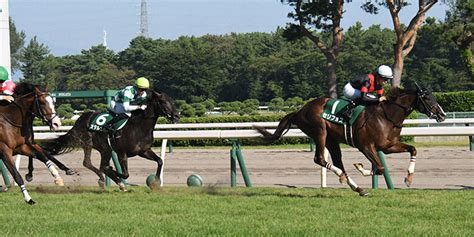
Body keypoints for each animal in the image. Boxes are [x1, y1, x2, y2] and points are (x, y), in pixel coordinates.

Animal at [42, 90, 180, 190]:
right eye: (163, 102)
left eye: (172, 101)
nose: (177, 115)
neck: (139, 127)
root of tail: (79, 120)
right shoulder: (121, 152)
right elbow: (125, 173)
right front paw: (116, 174)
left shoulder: (143, 151)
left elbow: (160, 161)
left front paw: (156, 182)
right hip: (97, 146)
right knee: (98, 165)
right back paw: (112, 180)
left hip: (102, 148)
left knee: (90, 163)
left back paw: (103, 179)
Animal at [256, 85, 444, 196]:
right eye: (427, 98)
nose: (442, 114)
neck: (386, 116)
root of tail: (300, 110)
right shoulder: (366, 146)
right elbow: (380, 168)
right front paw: (361, 167)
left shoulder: (388, 145)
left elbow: (413, 149)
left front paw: (408, 178)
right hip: (319, 131)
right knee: (320, 159)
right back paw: (343, 177)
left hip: (331, 139)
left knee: (337, 161)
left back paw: (357, 187)